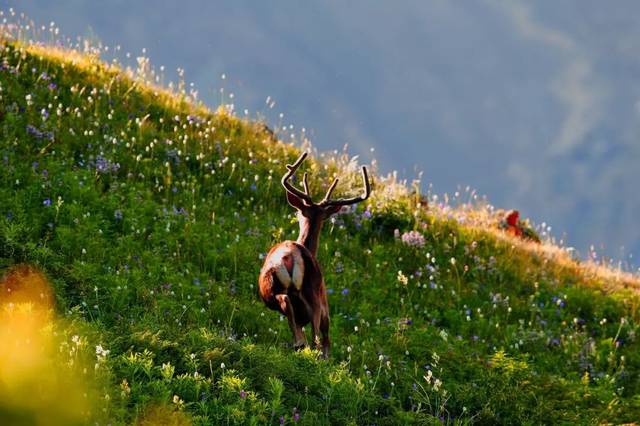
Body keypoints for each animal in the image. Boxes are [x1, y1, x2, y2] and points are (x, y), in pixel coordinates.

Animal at [258, 151, 372, 358]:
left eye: (299, 213)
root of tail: (289, 255)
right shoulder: (325, 302)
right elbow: (326, 340)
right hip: (314, 295)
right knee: (317, 338)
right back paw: (305, 347)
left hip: (272, 291)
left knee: (288, 306)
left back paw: (297, 343)